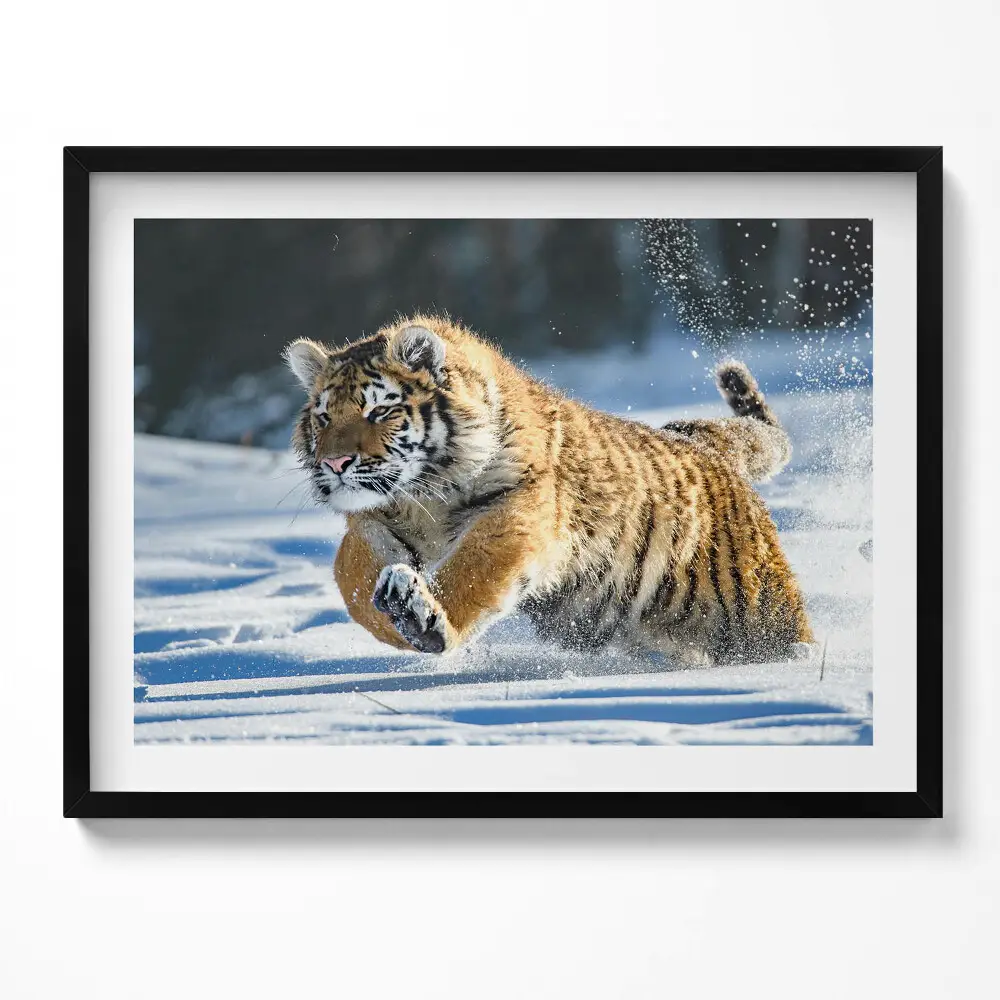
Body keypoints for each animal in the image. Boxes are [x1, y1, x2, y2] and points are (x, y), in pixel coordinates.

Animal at [283, 314, 813, 666]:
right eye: (324, 416)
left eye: (380, 411)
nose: (334, 463)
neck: (425, 495)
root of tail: (704, 444)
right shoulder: (373, 521)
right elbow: (353, 579)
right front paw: (394, 614)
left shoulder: (518, 510)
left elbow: (471, 569)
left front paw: (424, 620)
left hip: (758, 609)